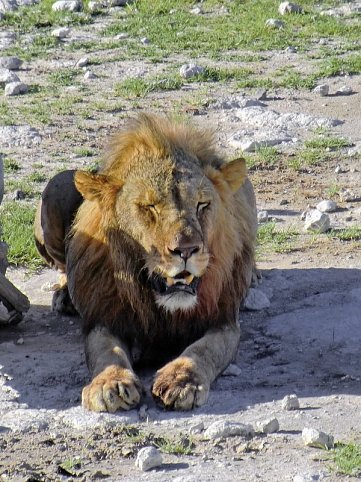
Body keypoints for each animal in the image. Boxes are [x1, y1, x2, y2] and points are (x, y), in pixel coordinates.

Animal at [34, 113, 256, 410]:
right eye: (150, 207)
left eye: (202, 204)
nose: (186, 250)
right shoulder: (105, 318)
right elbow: (107, 352)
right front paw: (111, 384)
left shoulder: (223, 321)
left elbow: (202, 350)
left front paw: (182, 381)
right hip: (55, 189)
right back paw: (64, 295)